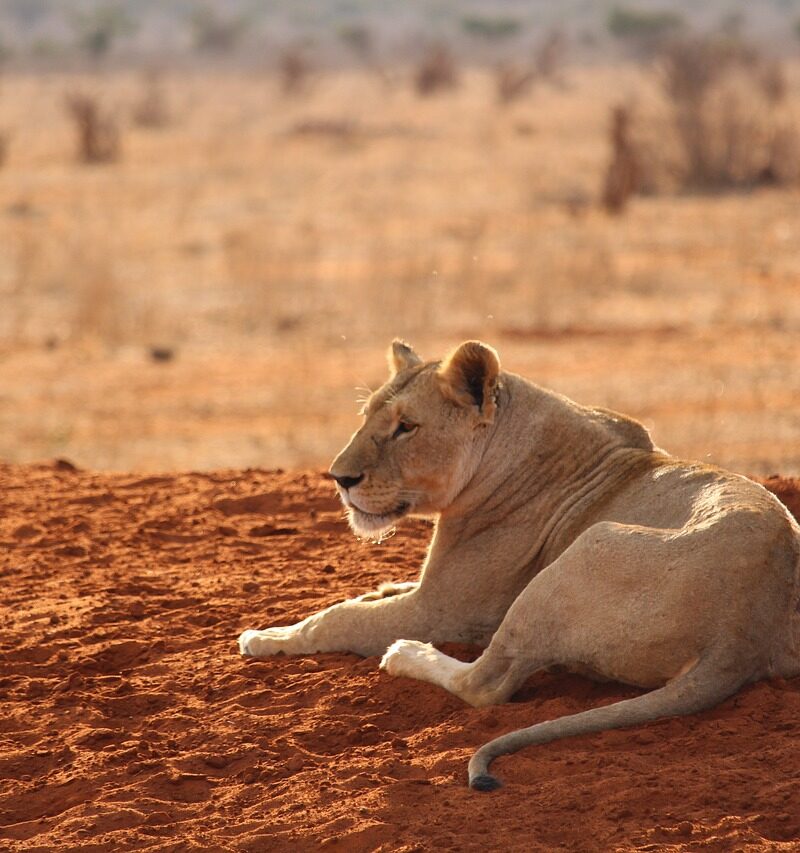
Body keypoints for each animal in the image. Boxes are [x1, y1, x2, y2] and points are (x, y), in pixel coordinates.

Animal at [238, 339, 800, 790]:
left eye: (405, 427)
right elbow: (371, 596)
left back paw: (406, 654)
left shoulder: (443, 611)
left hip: (587, 548)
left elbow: (336, 618)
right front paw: (376, 587)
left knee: (485, 683)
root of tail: (741, 637)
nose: (340, 478)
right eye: (367, 418)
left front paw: (266, 637)